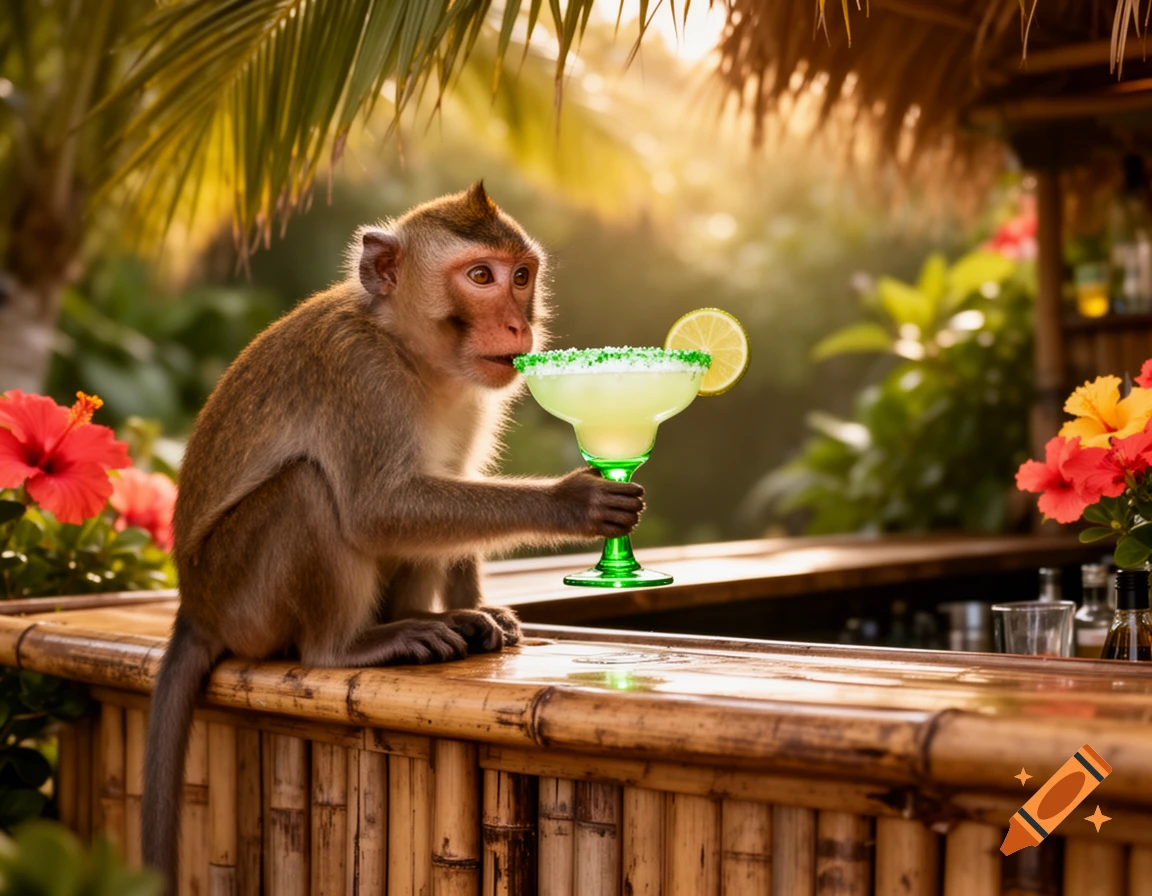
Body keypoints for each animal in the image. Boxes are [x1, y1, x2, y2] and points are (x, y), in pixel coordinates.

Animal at [141, 182, 645, 890]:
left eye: (521, 276)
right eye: (481, 277)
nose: (520, 326)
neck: (407, 350)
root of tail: (194, 607)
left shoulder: (477, 393)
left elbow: (451, 484)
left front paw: (478, 604)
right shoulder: (358, 373)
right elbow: (375, 508)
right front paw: (571, 501)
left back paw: (433, 618)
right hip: (239, 597)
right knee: (310, 492)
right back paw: (351, 644)